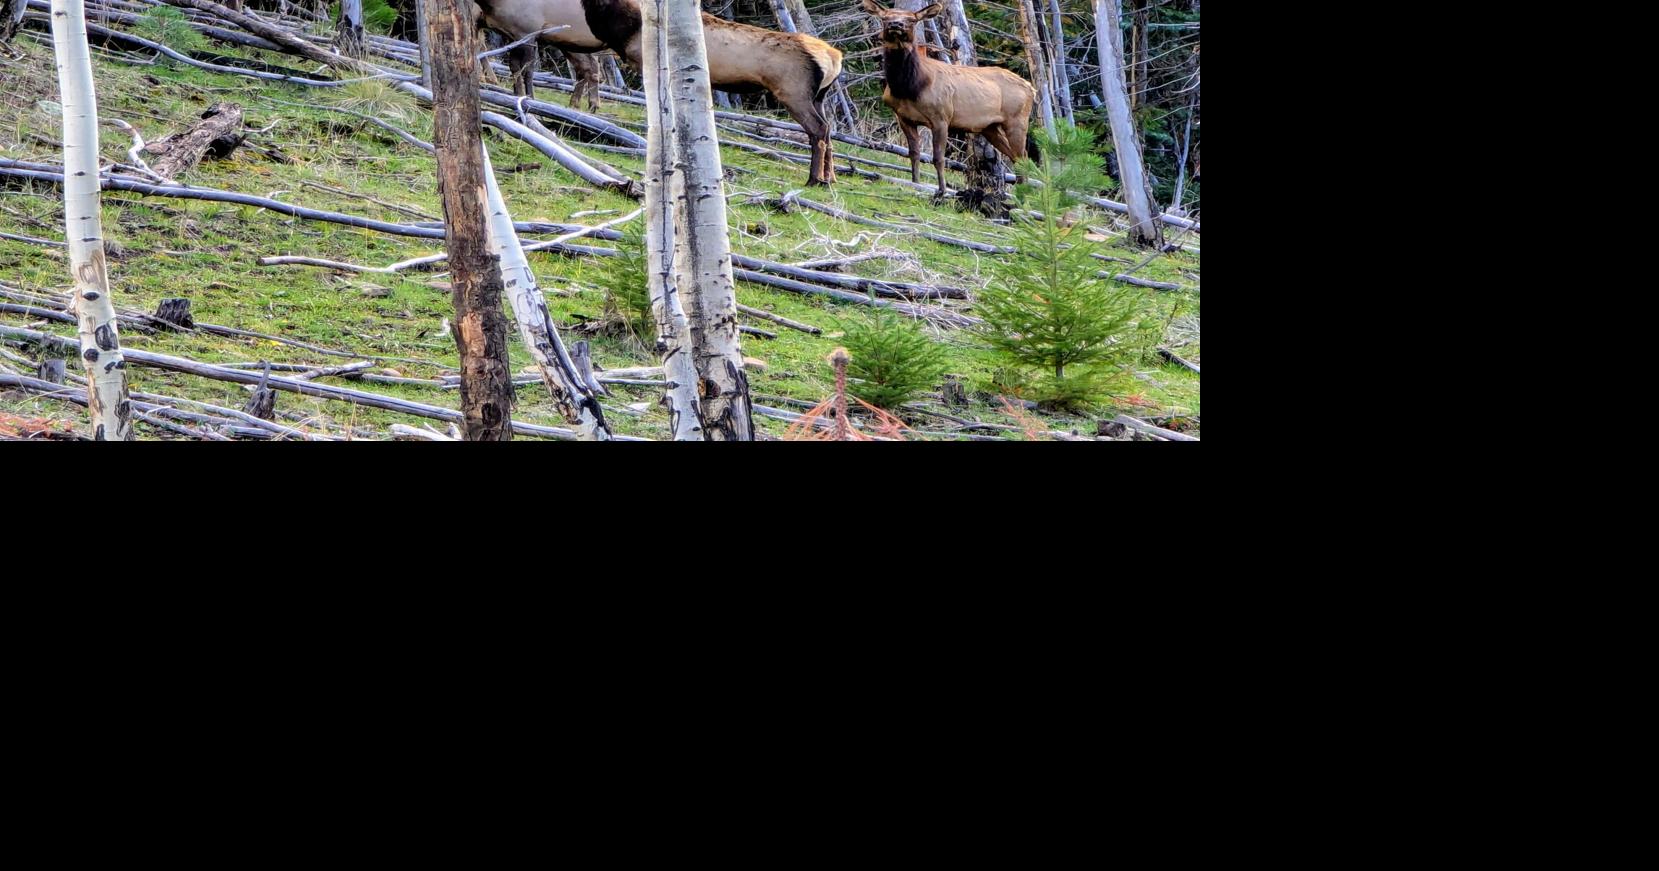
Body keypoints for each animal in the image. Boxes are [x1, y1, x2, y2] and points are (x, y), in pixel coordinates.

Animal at [477, 0, 846, 187]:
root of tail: (835, 58)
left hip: (794, 93)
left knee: (818, 130)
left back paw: (816, 179)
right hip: (817, 97)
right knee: (827, 129)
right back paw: (829, 178)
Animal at [861, 1, 1037, 200]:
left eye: (912, 19)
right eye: (885, 17)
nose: (896, 24)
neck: (910, 88)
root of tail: (1031, 89)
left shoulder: (941, 117)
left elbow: (938, 158)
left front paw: (942, 190)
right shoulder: (903, 118)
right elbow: (914, 153)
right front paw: (915, 183)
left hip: (1017, 119)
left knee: (1023, 157)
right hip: (990, 127)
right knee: (1017, 158)